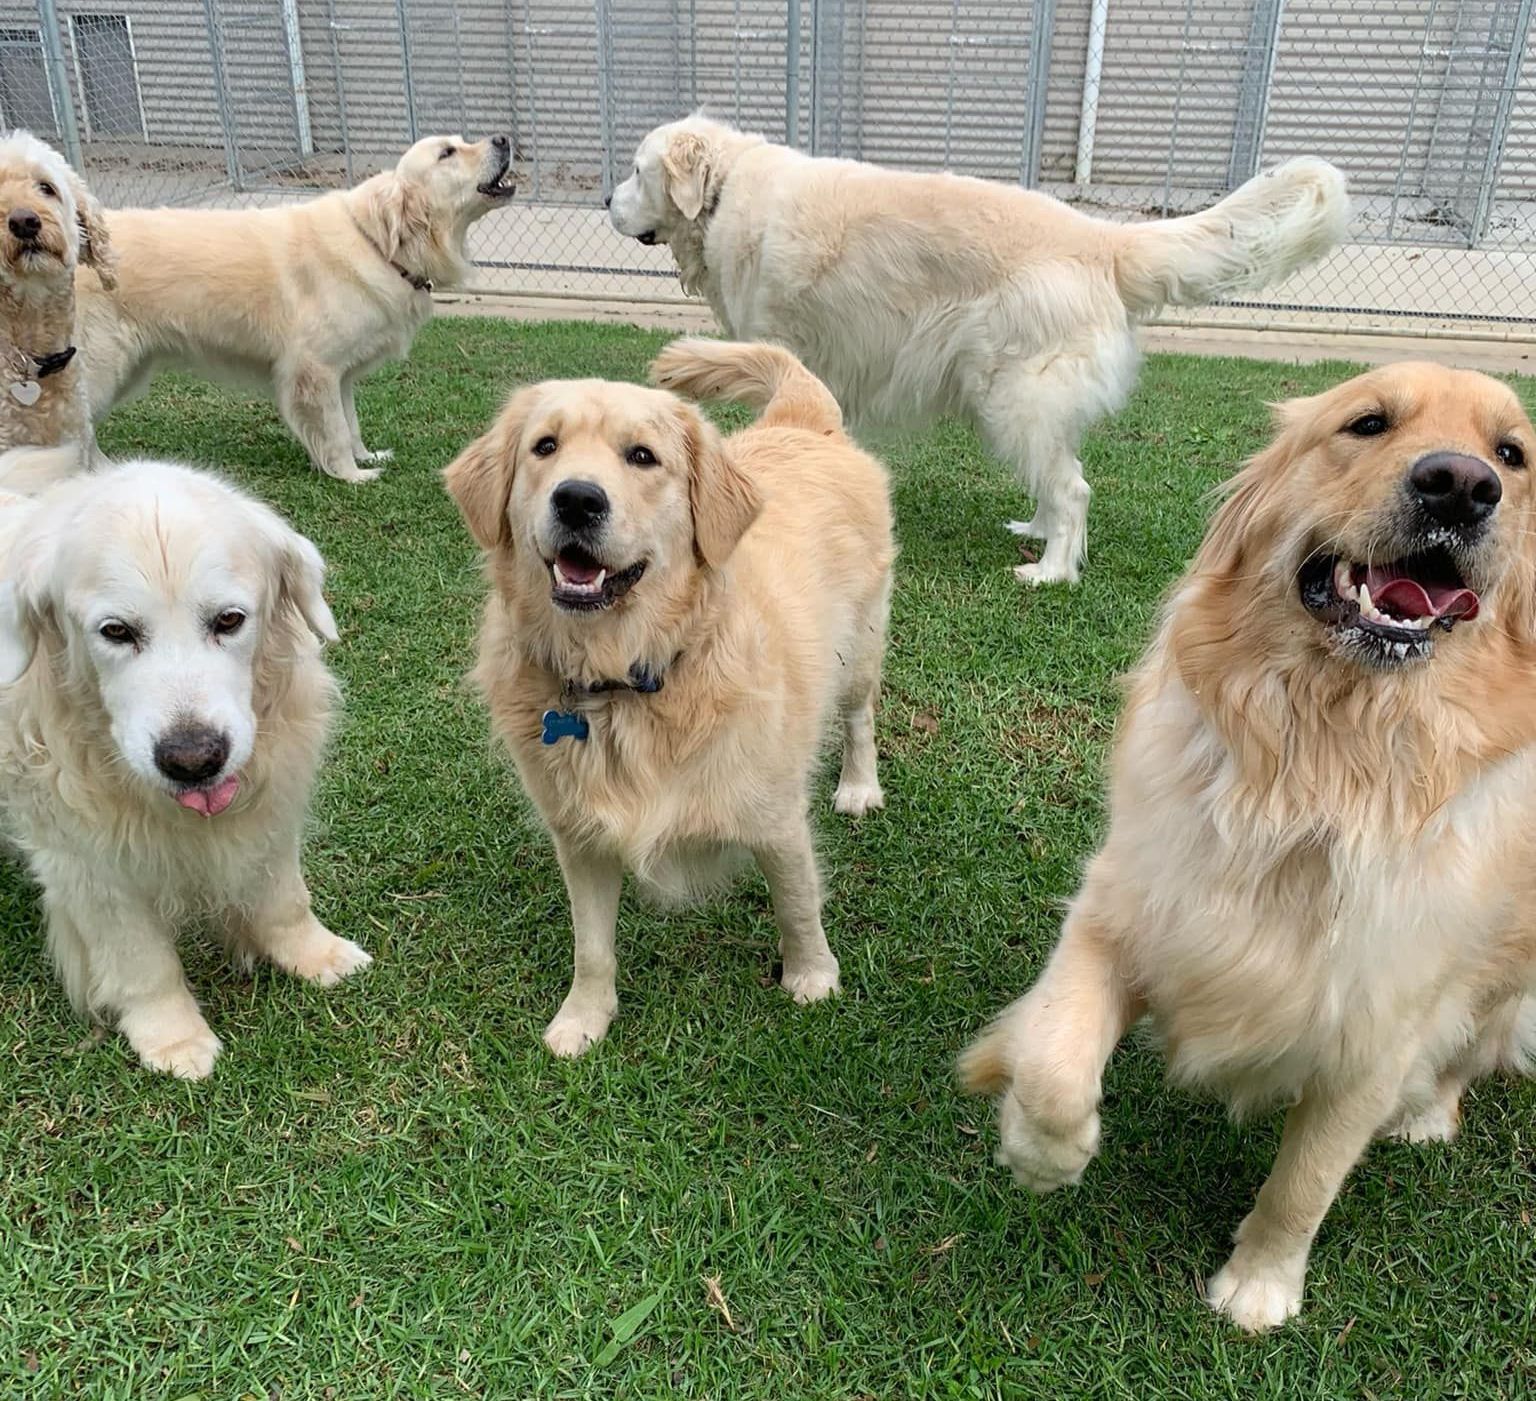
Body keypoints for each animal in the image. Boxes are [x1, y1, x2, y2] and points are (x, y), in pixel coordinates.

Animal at [0, 457, 368, 1075]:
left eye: (229, 620)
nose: (194, 761)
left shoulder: (269, 806)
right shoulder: (88, 863)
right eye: (116, 631)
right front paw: (171, 1036)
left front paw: (314, 954)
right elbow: (142, 960)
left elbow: (284, 899)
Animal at [76, 132, 516, 482]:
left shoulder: (341, 374)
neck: (378, 244)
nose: (503, 138)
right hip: (99, 368)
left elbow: (351, 424)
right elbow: (334, 431)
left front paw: (365, 456)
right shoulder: (313, 370)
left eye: (460, 141)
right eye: (447, 153)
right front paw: (352, 475)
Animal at [445, 339, 897, 1056]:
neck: (626, 678)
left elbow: (797, 902)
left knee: (859, 718)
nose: (577, 499)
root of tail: (801, 422)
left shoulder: (774, 816)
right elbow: (592, 946)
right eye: (545, 446)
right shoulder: (579, 835)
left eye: (642, 456)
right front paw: (584, 1017)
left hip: (860, 651)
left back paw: (859, 787)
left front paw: (812, 977)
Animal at [605, 110, 1351, 586]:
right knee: (1059, 480)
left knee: (1074, 488)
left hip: (1015, 397)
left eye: (636, 171)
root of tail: (1104, 240)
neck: (725, 190)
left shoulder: (787, 345)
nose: (606, 200)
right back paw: (1036, 532)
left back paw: (1052, 572)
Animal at [958, 357, 1536, 1327]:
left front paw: (1260, 1286)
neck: (1316, 771)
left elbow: (1306, 1181)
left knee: (1473, 1041)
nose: (1461, 485)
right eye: (1368, 422)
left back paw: (1427, 1114)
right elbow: (1053, 1062)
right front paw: (1040, 1152)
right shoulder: (1124, 906)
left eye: (1512, 456)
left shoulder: (1376, 1030)